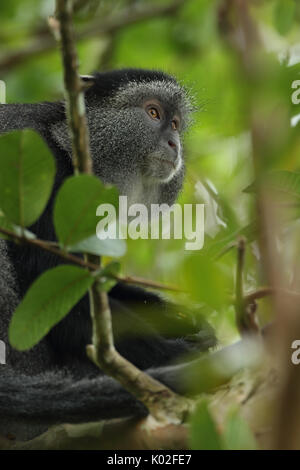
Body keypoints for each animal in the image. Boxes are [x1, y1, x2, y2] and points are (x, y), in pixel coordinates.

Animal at [0, 69, 216, 440]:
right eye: (153, 113)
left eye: (175, 123)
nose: (175, 145)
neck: (63, 143)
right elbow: (62, 309)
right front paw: (180, 355)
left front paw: (186, 320)